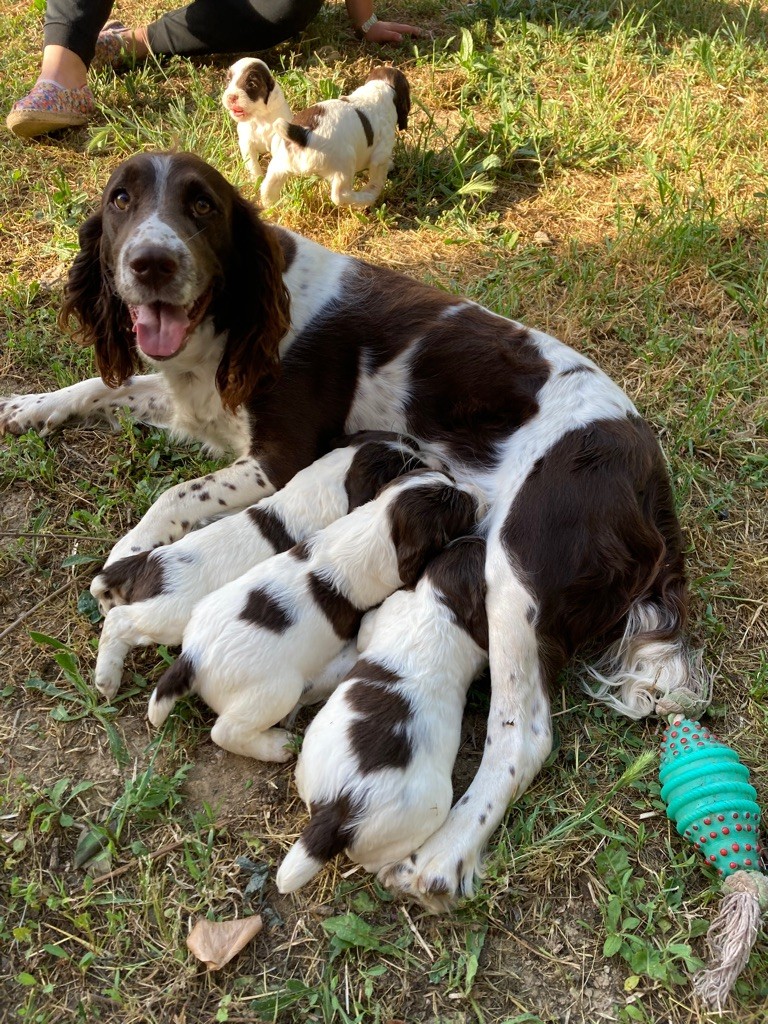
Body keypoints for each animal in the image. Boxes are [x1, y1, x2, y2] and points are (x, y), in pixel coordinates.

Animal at [88, 428, 434, 700]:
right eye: (408, 466)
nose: (433, 463)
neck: (335, 473)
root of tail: (146, 561)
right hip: (165, 617)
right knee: (121, 621)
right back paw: (107, 678)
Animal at [146, 468, 479, 761]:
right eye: (460, 509)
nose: (478, 493)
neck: (378, 523)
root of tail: (193, 656)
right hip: (276, 690)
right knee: (225, 731)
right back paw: (277, 746)